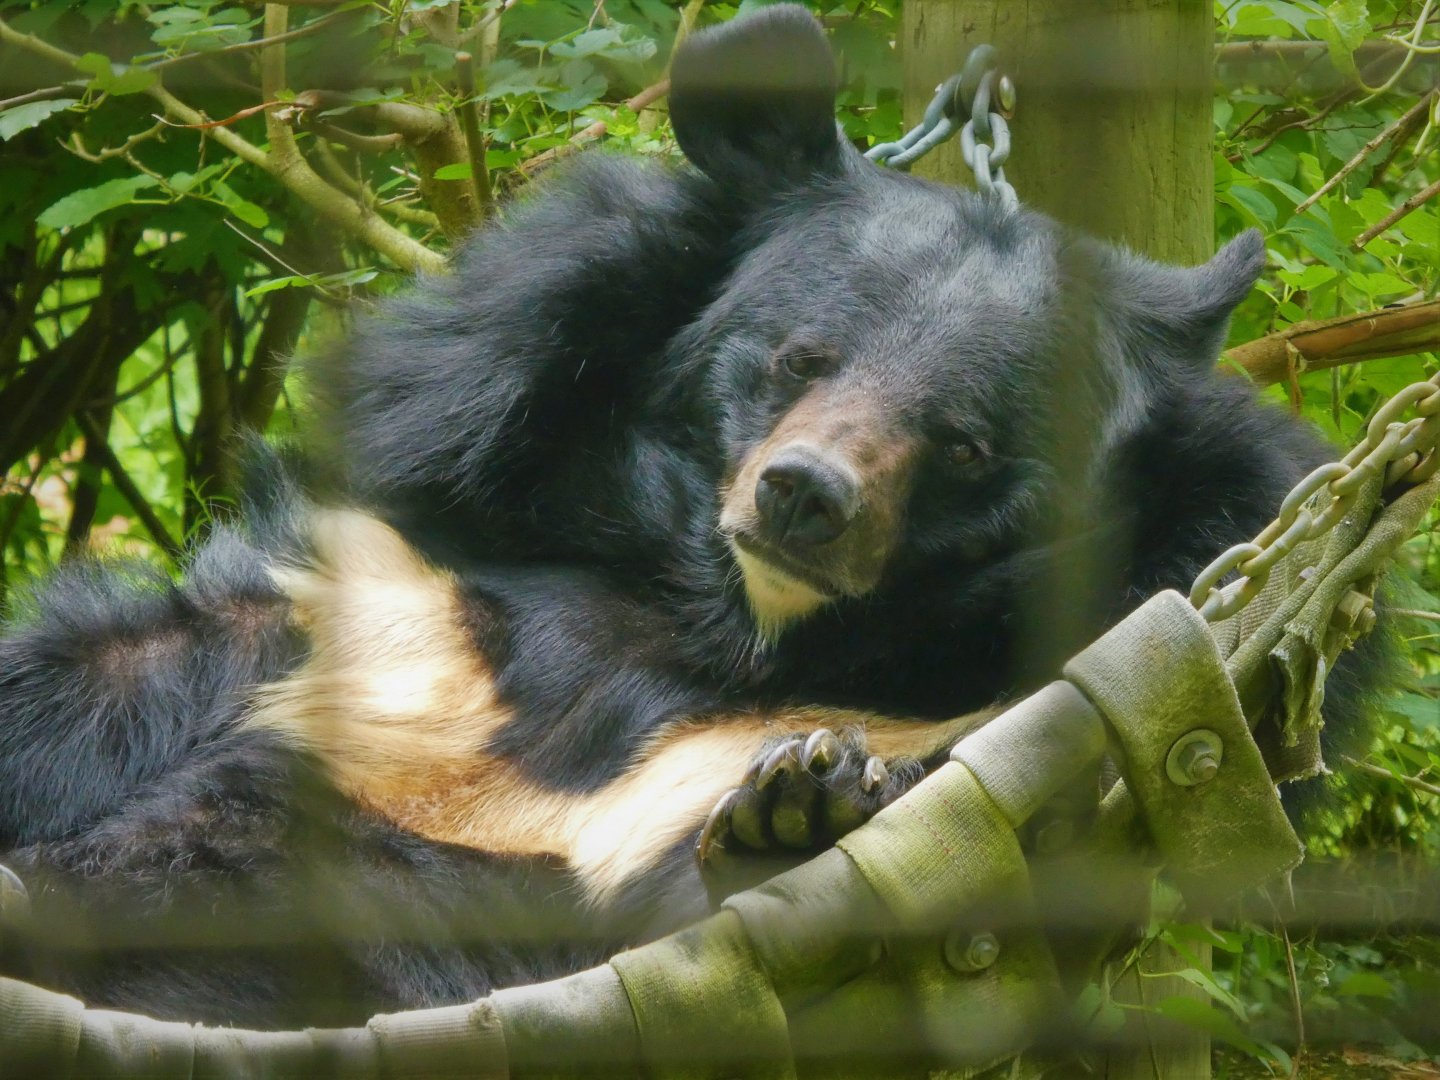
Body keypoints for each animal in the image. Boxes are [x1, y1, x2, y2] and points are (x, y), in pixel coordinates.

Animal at [0, 5, 1387, 1029]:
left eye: (966, 443)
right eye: (801, 357)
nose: (805, 494)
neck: (714, 626)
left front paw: (799, 809)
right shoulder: (401, 592)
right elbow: (87, 687)